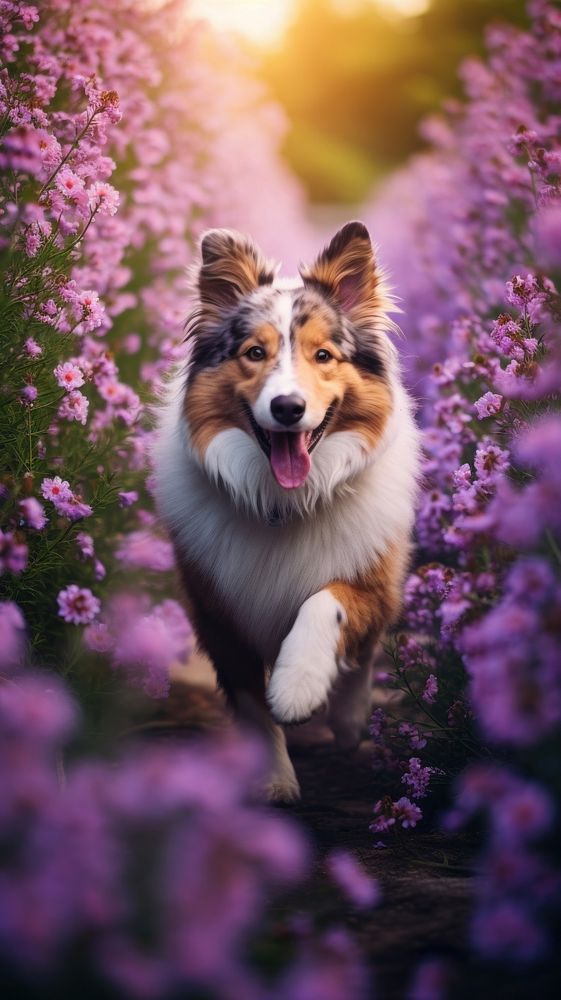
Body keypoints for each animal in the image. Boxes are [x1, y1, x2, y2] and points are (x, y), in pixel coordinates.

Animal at [151, 223, 418, 800]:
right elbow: (253, 705)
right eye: (255, 352)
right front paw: (273, 777)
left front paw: (298, 687)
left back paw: (349, 721)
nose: (288, 408)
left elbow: (325, 602)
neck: (284, 498)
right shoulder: (217, 612)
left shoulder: (369, 578)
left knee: (364, 654)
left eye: (323, 356)